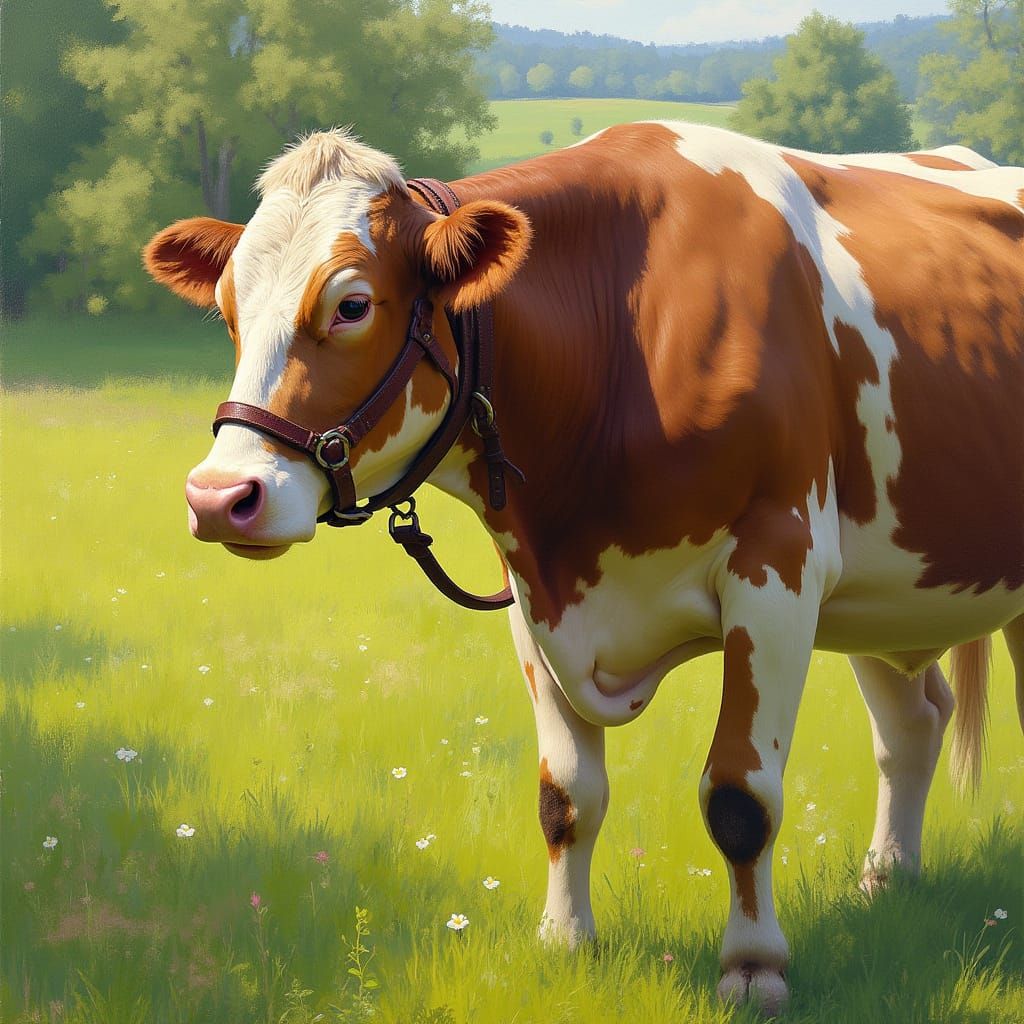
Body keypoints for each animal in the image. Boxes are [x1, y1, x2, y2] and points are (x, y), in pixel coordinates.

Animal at [144, 122, 1024, 1012]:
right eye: (228, 310)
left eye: (351, 304)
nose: (222, 496)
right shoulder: (535, 598)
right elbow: (566, 794)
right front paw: (565, 942)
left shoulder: (778, 573)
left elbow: (741, 794)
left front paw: (753, 967)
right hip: (888, 596)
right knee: (914, 724)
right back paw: (888, 878)